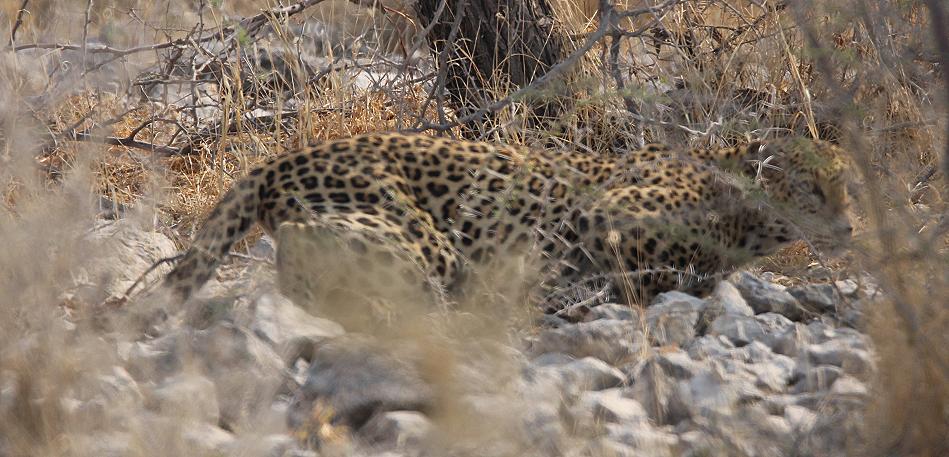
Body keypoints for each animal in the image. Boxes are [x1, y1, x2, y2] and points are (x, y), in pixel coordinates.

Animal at [161, 130, 852, 312]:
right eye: (815, 188)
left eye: (850, 186)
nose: (850, 228)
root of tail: (285, 156)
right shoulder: (603, 215)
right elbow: (643, 270)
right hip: (419, 235)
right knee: (306, 244)